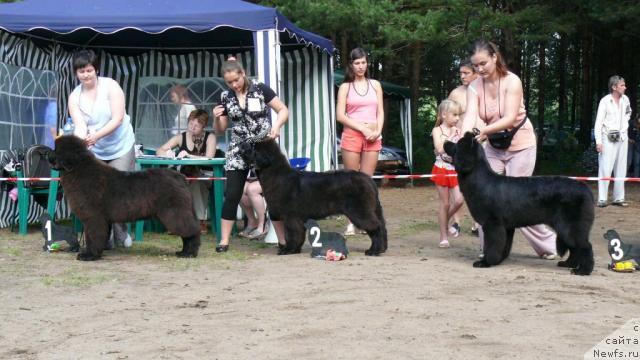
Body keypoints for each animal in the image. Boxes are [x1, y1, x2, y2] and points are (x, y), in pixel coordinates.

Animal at [48, 136, 200, 260]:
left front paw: (89, 255)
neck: (78, 169)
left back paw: (189, 253)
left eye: (56, 150)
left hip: (174, 213)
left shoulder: (93, 217)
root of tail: (180, 177)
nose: (47, 154)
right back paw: (183, 252)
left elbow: (92, 236)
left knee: (192, 231)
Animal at [242, 139, 388, 256]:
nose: (241, 146)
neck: (276, 174)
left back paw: (374, 251)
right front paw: (295, 249)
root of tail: (369, 180)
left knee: (376, 227)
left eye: (253, 147)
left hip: (359, 211)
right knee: (381, 226)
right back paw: (381, 249)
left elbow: (292, 234)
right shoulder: (296, 218)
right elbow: (298, 235)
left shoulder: (290, 216)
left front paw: (288, 250)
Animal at [444, 133, 596, 276]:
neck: (478, 178)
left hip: (571, 226)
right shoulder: (506, 227)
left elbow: (492, 245)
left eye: (456, 144)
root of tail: (585, 188)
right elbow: (504, 245)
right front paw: (498, 260)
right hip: (566, 227)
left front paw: (486, 262)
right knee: (575, 248)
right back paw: (569, 264)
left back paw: (583, 270)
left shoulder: (493, 224)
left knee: (585, 246)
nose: (445, 142)